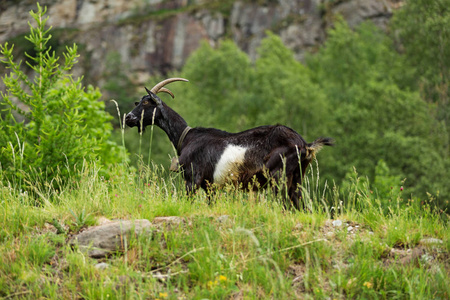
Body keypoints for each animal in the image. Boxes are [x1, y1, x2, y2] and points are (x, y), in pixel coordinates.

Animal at [125, 78, 332, 210]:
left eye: (146, 102)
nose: (128, 118)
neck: (186, 137)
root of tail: (305, 145)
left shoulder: (192, 180)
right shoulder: (210, 186)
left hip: (277, 175)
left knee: (286, 204)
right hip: (297, 178)